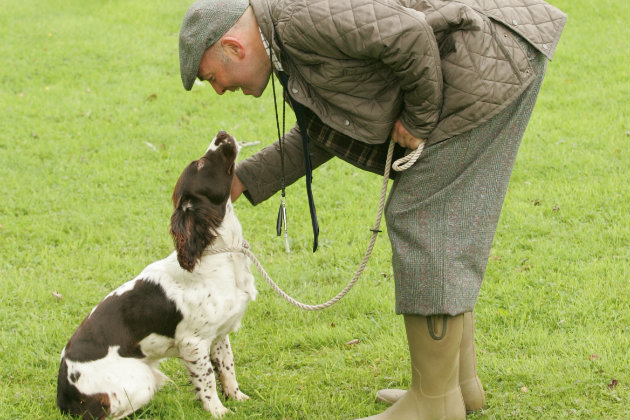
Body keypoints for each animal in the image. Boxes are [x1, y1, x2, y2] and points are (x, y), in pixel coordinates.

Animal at [57, 132, 256, 420]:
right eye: (199, 165)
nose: (220, 134)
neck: (220, 254)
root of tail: (63, 395)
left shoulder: (219, 334)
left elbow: (227, 366)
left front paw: (237, 397)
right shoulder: (192, 342)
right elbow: (207, 378)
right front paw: (218, 410)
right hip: (141, 379)